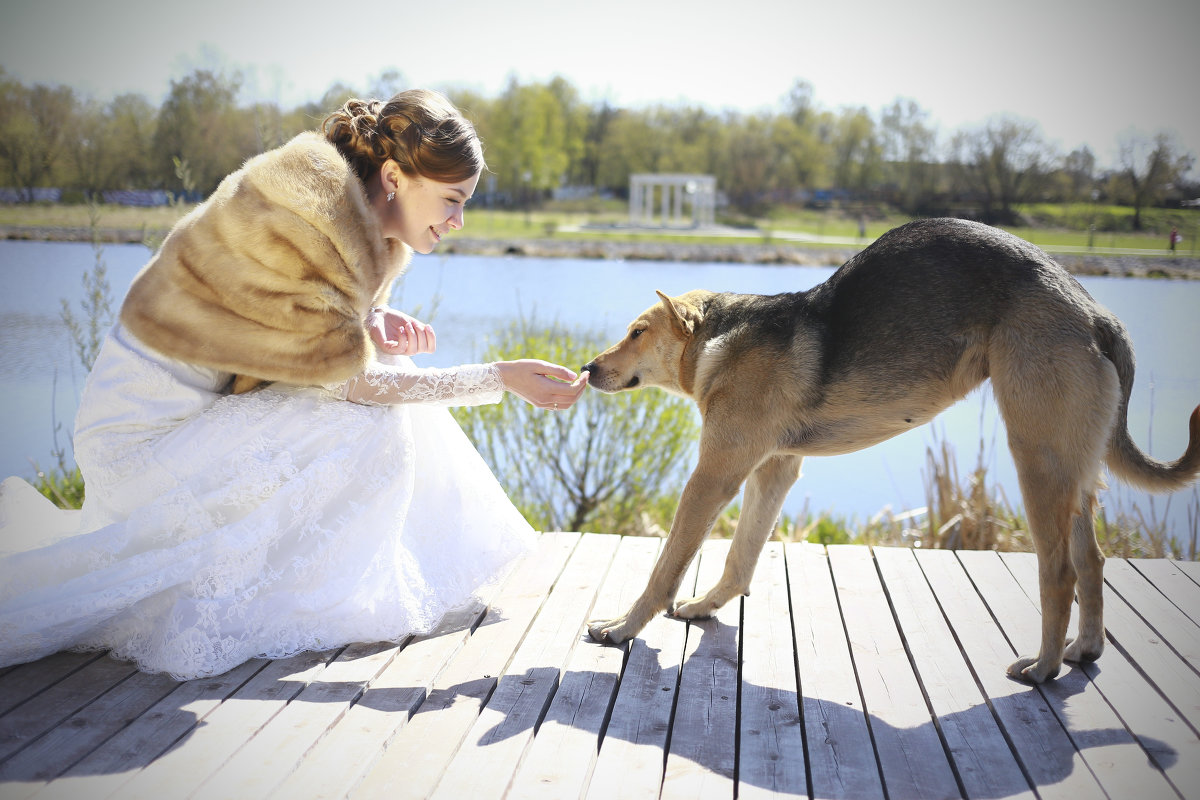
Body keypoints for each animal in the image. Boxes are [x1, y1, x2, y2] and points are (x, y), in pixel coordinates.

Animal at [583, 217, 1200, 681]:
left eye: (638, 332)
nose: (587, 368)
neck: (723, 337)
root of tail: (1096, 313)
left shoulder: (713, 475)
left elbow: (665, 567)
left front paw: (622, 628)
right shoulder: (773, 470)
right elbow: (741, 559)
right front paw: (705, 606)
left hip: (1037, 461)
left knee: (1060, 572)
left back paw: (1043, 666)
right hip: (1074, 471)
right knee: (1092, 561)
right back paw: (1084, 650)